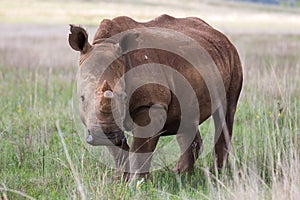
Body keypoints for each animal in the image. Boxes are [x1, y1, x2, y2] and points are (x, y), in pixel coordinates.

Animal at [68, 14, 241, 180]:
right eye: (82, 98)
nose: (108, 134)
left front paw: (138, 182)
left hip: (233, 57)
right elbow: (118, 151)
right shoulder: (99, 121)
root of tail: (219, 34)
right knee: (186, 118)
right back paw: (181, 174)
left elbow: (140, 148)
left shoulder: (150, 105)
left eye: (124, 96)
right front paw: (120, 180)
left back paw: (218, 176)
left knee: (226, 111)